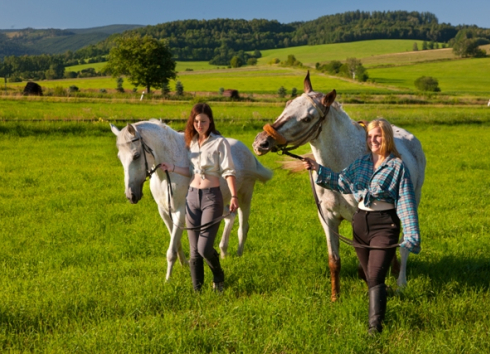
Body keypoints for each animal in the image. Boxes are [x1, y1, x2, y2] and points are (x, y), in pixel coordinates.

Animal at [110, 120, 272, 280]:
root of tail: (246, 150)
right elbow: (176, 242)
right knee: (230, 218)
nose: (131, 196)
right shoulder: (165, 212)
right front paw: (184, 264)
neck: (167, 175)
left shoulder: (180, 212)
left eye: (136, 156)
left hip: (245, 196)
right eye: (119, 157)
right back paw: (224, 252)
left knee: (243, 227)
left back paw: (239, 256)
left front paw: (167, 280)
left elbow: (171, 250)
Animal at [253, 72, 424, 302]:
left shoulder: (357, 220)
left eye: (307, 118)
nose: (260, 142)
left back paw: (401, 282)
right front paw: (335, 297)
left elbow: (364, 265)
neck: (342, 165)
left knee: (404, 244)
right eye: (287, 104)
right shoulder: (327, 218)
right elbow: (334, 261)